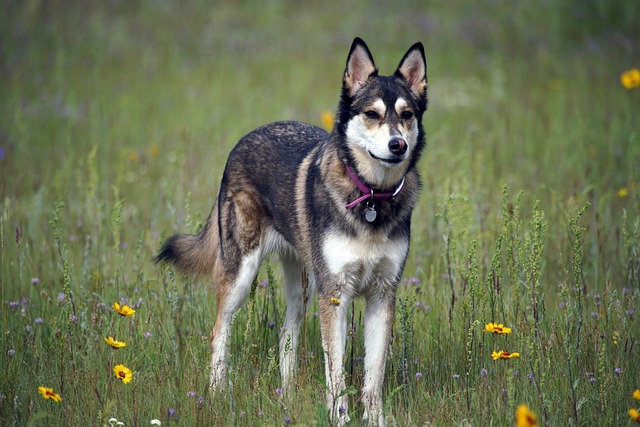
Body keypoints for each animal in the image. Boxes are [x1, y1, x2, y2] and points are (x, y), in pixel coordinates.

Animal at [156, 38, 428, 426]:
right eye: (372, 114)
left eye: (407, 115)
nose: (398, 145)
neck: (371, 198)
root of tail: (244, 139)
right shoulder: (335, 294)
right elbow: (337, 374)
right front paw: (339, 418)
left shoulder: (382, 293)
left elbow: (373, 377)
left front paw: (375, 420)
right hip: (242, 274)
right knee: (218, 331)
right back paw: (218, 393)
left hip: (303, 286)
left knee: (287, 335)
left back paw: (285, 398)